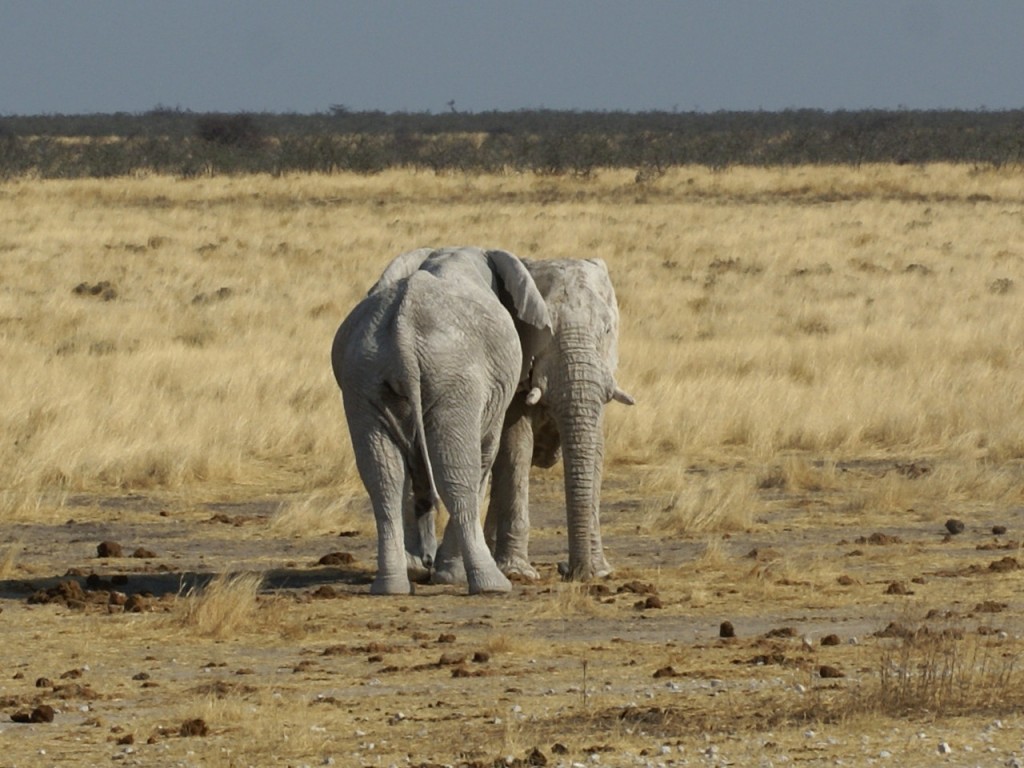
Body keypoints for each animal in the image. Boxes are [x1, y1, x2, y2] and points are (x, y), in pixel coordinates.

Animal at [331, 246, 552, 595]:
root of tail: (403, 329)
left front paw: (423, 568)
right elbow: (483, 458)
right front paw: (446, 573)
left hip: (364, 375)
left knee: (383, 475)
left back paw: (392, 586)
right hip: (455, 378)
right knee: (456, 473)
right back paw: (492, 585)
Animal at [483, 258, 634, 581]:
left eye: (607, 330)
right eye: (544, 331)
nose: (567, 570)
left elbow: (596, 451)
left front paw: (600, 571)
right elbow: (516, 446)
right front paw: (517, 574)